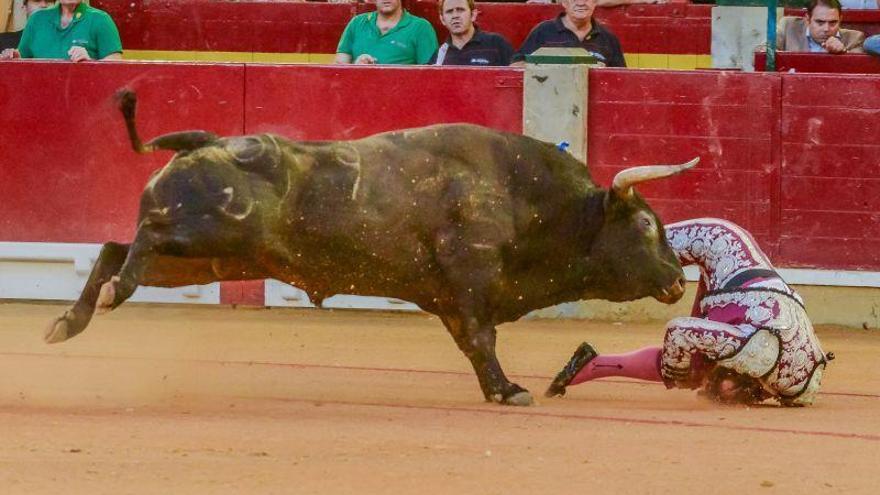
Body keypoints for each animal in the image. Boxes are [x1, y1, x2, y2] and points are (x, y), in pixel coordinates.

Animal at [46, 91, 696, 404]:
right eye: (645, 224)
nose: (675, 279)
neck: (526, 196)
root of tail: (206, 141)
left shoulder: (450, 299)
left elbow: (472, 346)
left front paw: (499, 389)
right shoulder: (470, 282)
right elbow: (483, 339)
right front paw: (511, 391)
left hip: (201, 260)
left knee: (113, 246)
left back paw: (69, 321)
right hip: (205, 235)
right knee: (137, 244)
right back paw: (108, 298)